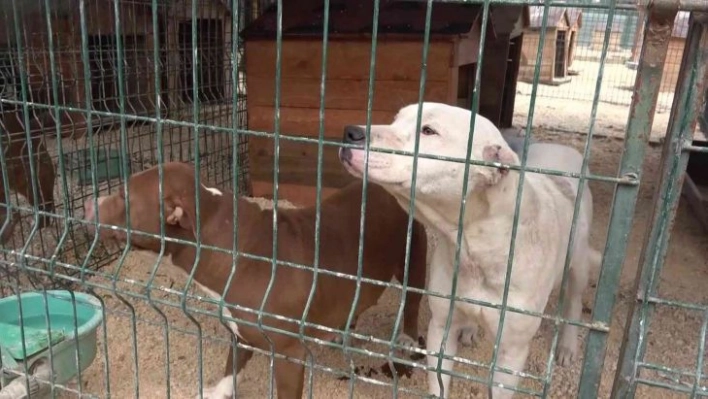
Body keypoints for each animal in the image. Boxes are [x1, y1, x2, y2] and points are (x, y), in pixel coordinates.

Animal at [81, 162, 428, 399]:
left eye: (123, 194)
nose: (87, 203)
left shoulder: (290, 353)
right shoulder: (239, 328)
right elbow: (232, 364)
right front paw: (217, 391)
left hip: (414, 258)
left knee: (413, 303)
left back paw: (408, 340)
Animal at [338, 104, 596, 399]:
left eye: (428, 131)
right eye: (395, 120)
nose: (351, 132)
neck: (476, 247)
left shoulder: (511, 353)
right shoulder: (441, 327)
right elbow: (438, 380)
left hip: (578, 262)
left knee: (574, 301)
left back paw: (567, 346)